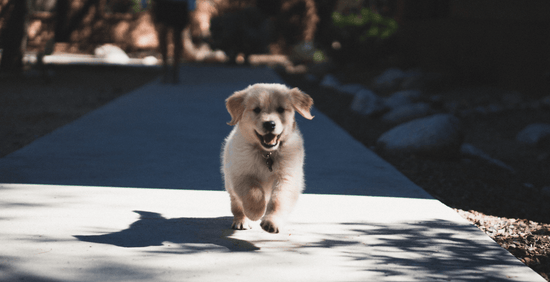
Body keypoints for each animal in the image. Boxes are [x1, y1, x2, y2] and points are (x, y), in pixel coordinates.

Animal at [221, 83, 314, 234]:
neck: (267, 153)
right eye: (256, 110)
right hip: (229, 182)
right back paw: (241, 220)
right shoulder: (241, 174)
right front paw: (255, 212)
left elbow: (279, 200)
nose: (269, 124)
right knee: (236, 204)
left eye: (281, 109)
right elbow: (253, 192)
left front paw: (272, 222)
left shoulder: (287, 176)